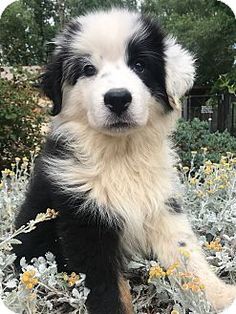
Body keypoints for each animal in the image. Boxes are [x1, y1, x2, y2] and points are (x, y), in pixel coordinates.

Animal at [14, 7, 236, 314]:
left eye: (140, 65)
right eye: (88, 69)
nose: (117, 98)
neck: (121, 155)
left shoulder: (162, 205)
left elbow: (187, 256)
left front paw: (222, 296)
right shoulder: (84, 219)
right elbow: (108, 289)